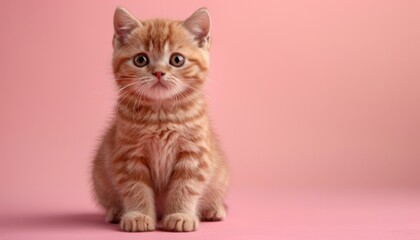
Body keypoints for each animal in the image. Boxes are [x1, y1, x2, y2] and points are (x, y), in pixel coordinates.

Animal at [91, 6, 230, 232]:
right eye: (140, 60)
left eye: (177, 59)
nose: (158, 73)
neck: (161, 114)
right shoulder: (129, 156)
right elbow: (135, 187)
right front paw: (138, 215)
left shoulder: (194, 154)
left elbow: (186, 186)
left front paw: (180, 215)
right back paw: (116, 211)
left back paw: (213, 209)